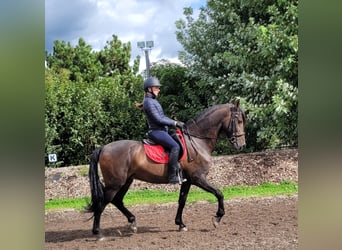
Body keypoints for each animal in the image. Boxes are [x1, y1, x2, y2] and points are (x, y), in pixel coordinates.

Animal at [86, 98, 246, 237]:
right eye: (238, 121)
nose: (242, 145)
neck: (197, 141)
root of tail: (104, 148)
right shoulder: (198, 178)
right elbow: (219, 193)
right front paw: (217, 218)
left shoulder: (188, 181)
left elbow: (182, 200)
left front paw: (180, 224)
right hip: (115, 183)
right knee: (103, 203)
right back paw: (98, 232)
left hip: (126, 181)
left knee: (117, 200)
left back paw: (132, 222)